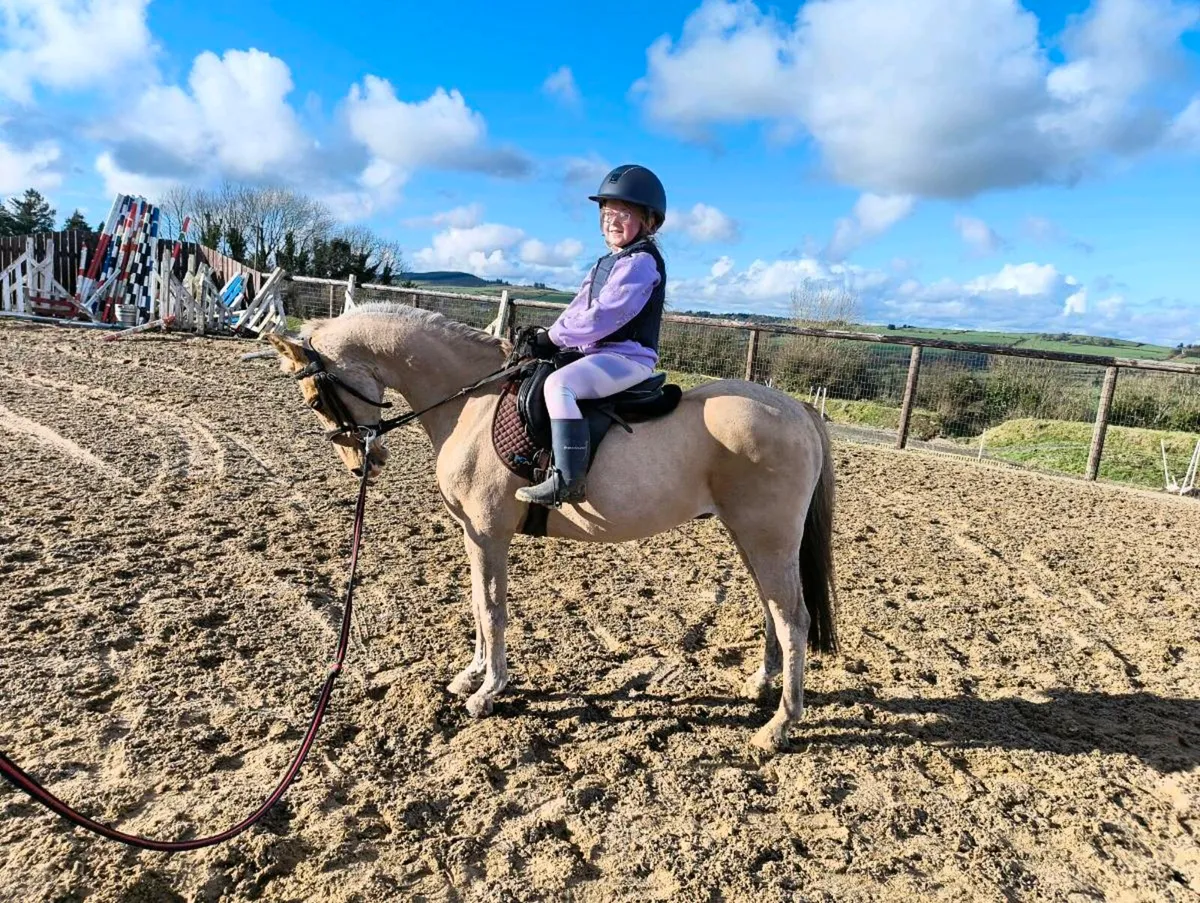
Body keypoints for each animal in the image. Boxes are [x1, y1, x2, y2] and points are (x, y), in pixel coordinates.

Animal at [266, 301, 838, 752]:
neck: (470, 404)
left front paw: (488, 692)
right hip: (751, 538)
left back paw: (779, 726)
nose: (362, 465)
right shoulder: (475, 536)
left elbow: (493, 610)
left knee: (794, 620)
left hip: (768, 538)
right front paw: (471, 675)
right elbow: (478, 604)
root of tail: (798, 410)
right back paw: (760, 687)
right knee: (772, 610)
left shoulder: (489, 534)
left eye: (316, 400)